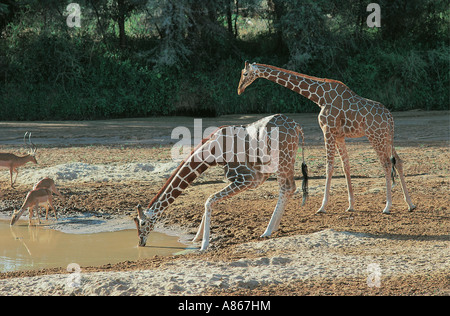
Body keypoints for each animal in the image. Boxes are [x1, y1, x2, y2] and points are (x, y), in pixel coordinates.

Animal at [135, 113, 308, 249]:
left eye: (142, 223)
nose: (140, 242)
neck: (213, 152)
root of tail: (297, 125)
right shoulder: (249, 180)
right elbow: (208, 200)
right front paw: (195, 239)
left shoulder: (246, 179)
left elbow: (209, 200)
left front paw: (204, 245)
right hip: (286, 160)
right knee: (288, 189)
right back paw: (273, 228)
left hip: (282, 161)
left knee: (287, 188)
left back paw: (267, 231)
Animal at [237, 61, 416, 215]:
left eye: (245, 73)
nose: (239, 89)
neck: (319, 97)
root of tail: (390, 117)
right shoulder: (339, 135)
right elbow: (345, 165)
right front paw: (351, 205)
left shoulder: (327, 131)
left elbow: (329, 166)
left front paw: (322, 206)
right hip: (387, 137)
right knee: (398, 162)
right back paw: (410, 204)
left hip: (375, 136)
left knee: (386, 164)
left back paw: (387, 206)